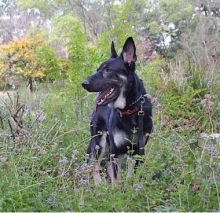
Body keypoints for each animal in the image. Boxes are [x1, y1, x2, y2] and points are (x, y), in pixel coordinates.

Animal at [81, 37, 152, 185]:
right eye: (98, 69)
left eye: (108, 70)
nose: (83, 83)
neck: (130, 110)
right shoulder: (115, 152)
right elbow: (116, 181)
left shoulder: (137, 152)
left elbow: (131, 178)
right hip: (99, 142)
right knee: (94, 165)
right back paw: (99, 185)